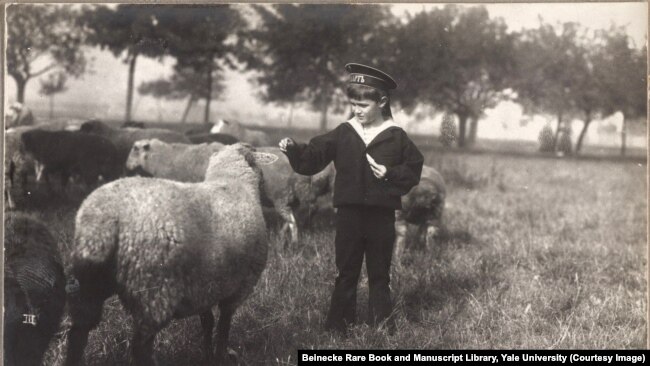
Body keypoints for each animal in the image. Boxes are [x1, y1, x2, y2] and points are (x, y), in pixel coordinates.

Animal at [66, 143, 276, 366]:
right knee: (140, 348)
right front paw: (220, 356)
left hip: (90, 281)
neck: (231, 182)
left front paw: (208, 355)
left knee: (78, 333)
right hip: (154, 290)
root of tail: (105, 217)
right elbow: (224, 326)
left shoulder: (204, 285)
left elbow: (207, 322)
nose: (270, 200)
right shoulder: (240, 286)